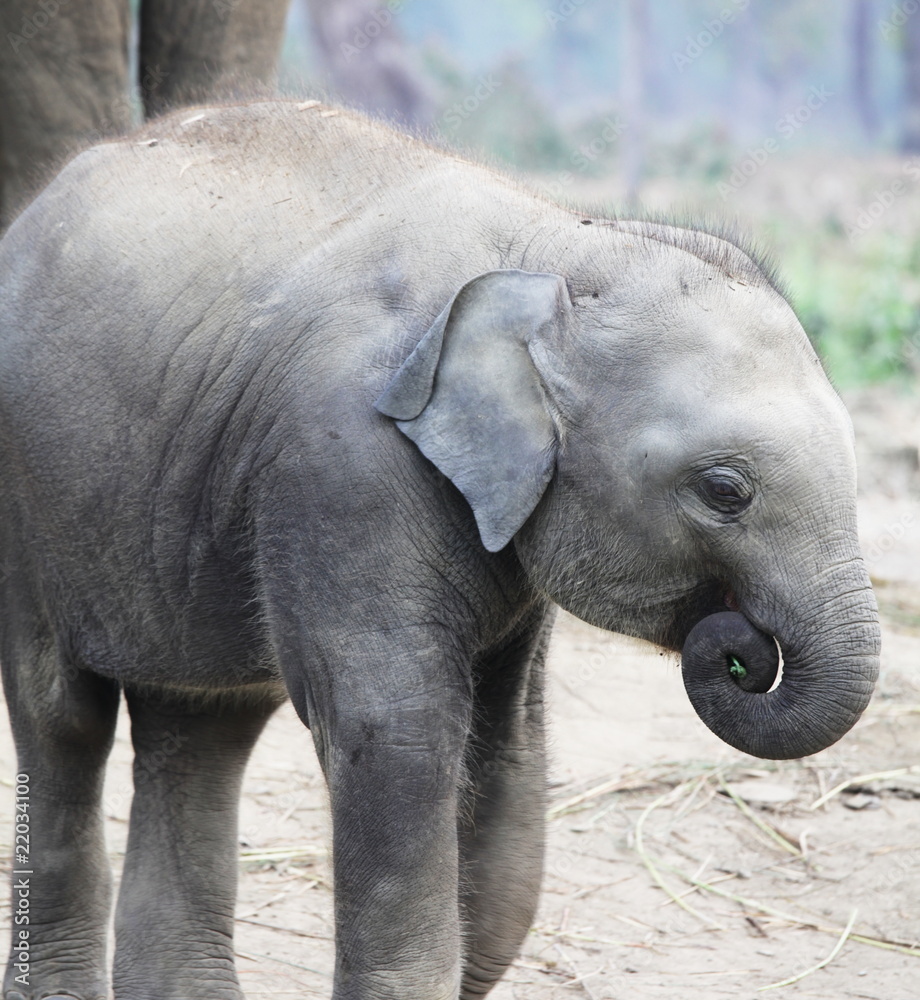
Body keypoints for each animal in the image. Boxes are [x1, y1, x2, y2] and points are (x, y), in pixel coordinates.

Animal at [0, 99, 880, 1000]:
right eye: (724, 491)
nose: (741, 648)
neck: (553, 246)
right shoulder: (342, 464)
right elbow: (398, 737)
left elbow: (508, 743)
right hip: (27, 508)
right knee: (63, 718)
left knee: (203, 729)